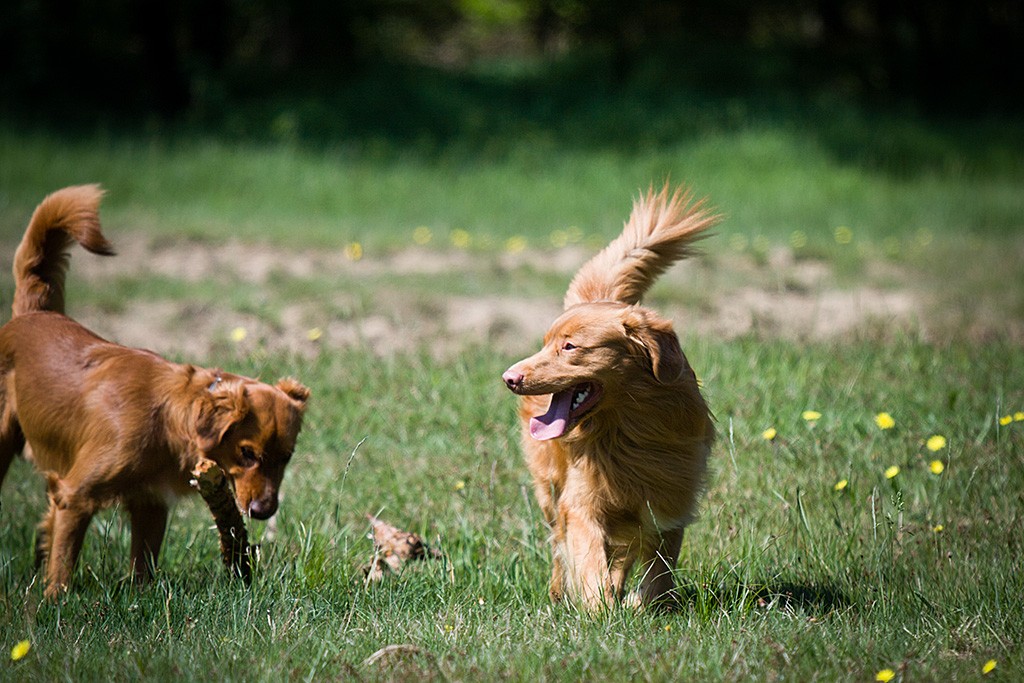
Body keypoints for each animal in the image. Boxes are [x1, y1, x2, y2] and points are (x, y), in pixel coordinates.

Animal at [0, 187, 309, 598]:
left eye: (286, 457)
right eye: (247, 453)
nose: (263, 511)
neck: (166, 419)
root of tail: (31, 315)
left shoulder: (151, 502)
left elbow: (143, 566)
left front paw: (138, 598)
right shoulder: (75, 496)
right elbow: (64, 560)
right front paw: (54, 602)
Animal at [499, 184, 716, 610]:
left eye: (569, 346)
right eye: (545, 343)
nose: (510, 378)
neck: (628, 432)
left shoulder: (670, 501)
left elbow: (658, 570)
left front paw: (638, 603)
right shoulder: (582, 501)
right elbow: (587, 554)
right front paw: (599, 608)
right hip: (550, 487)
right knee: (559, 542)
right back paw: (560, 592)